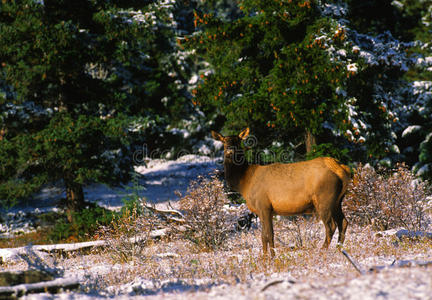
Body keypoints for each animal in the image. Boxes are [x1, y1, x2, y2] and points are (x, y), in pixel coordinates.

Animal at [213, 127, 352, 256]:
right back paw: (339, 249)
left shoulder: (264, 206)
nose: (230, 151)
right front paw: (264, 257)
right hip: (337, 201)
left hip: (324, 199)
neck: (244, 183)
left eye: (238, 141)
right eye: (224, 142)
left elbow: (269, 234)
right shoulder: (264, 210)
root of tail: (341, 168)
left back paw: (322, 251)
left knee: (331, 226)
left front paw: (272, 257)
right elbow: (263, 236)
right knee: (343, 222)